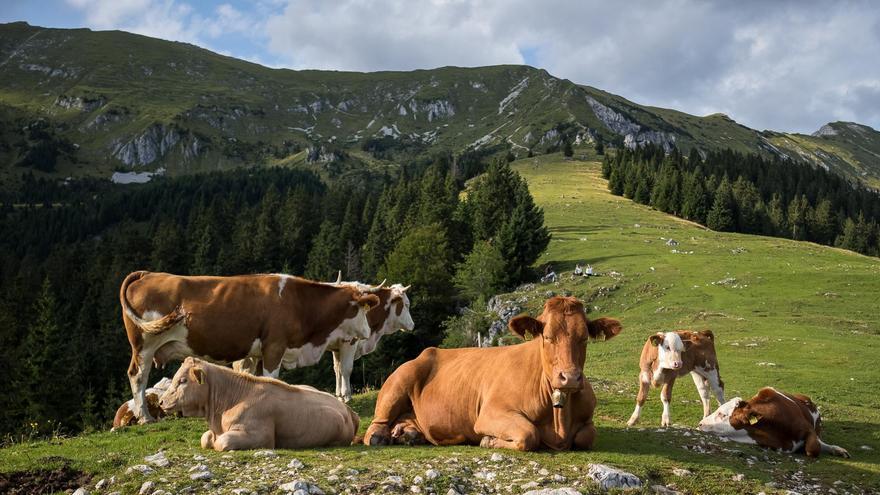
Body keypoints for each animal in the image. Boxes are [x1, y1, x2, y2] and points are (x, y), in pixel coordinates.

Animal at [120, 271, 379, 423]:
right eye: (362, 308)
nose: (368, 333)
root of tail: (147, 273)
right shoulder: (274, 345)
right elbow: (273, 379)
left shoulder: (260, 352)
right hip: (144, 344)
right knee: (137, 376)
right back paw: (144, 417)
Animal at [159, 357, 359, 450]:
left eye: (183, 380)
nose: (160, 401)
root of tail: (348, 410)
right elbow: (205, 438)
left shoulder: (261, 436)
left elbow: (222, 442)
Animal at [363, 296, 622, 451]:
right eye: (547, 337)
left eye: (584, 338)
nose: (569, 377)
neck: (560, 422)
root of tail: (425, 352)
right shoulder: (490, 413)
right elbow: (529, 434)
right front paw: (488, 440)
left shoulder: (587, 420)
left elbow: (586, 436)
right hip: (399, 381)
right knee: (375, 427)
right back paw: (381, 437)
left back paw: (409, 435)